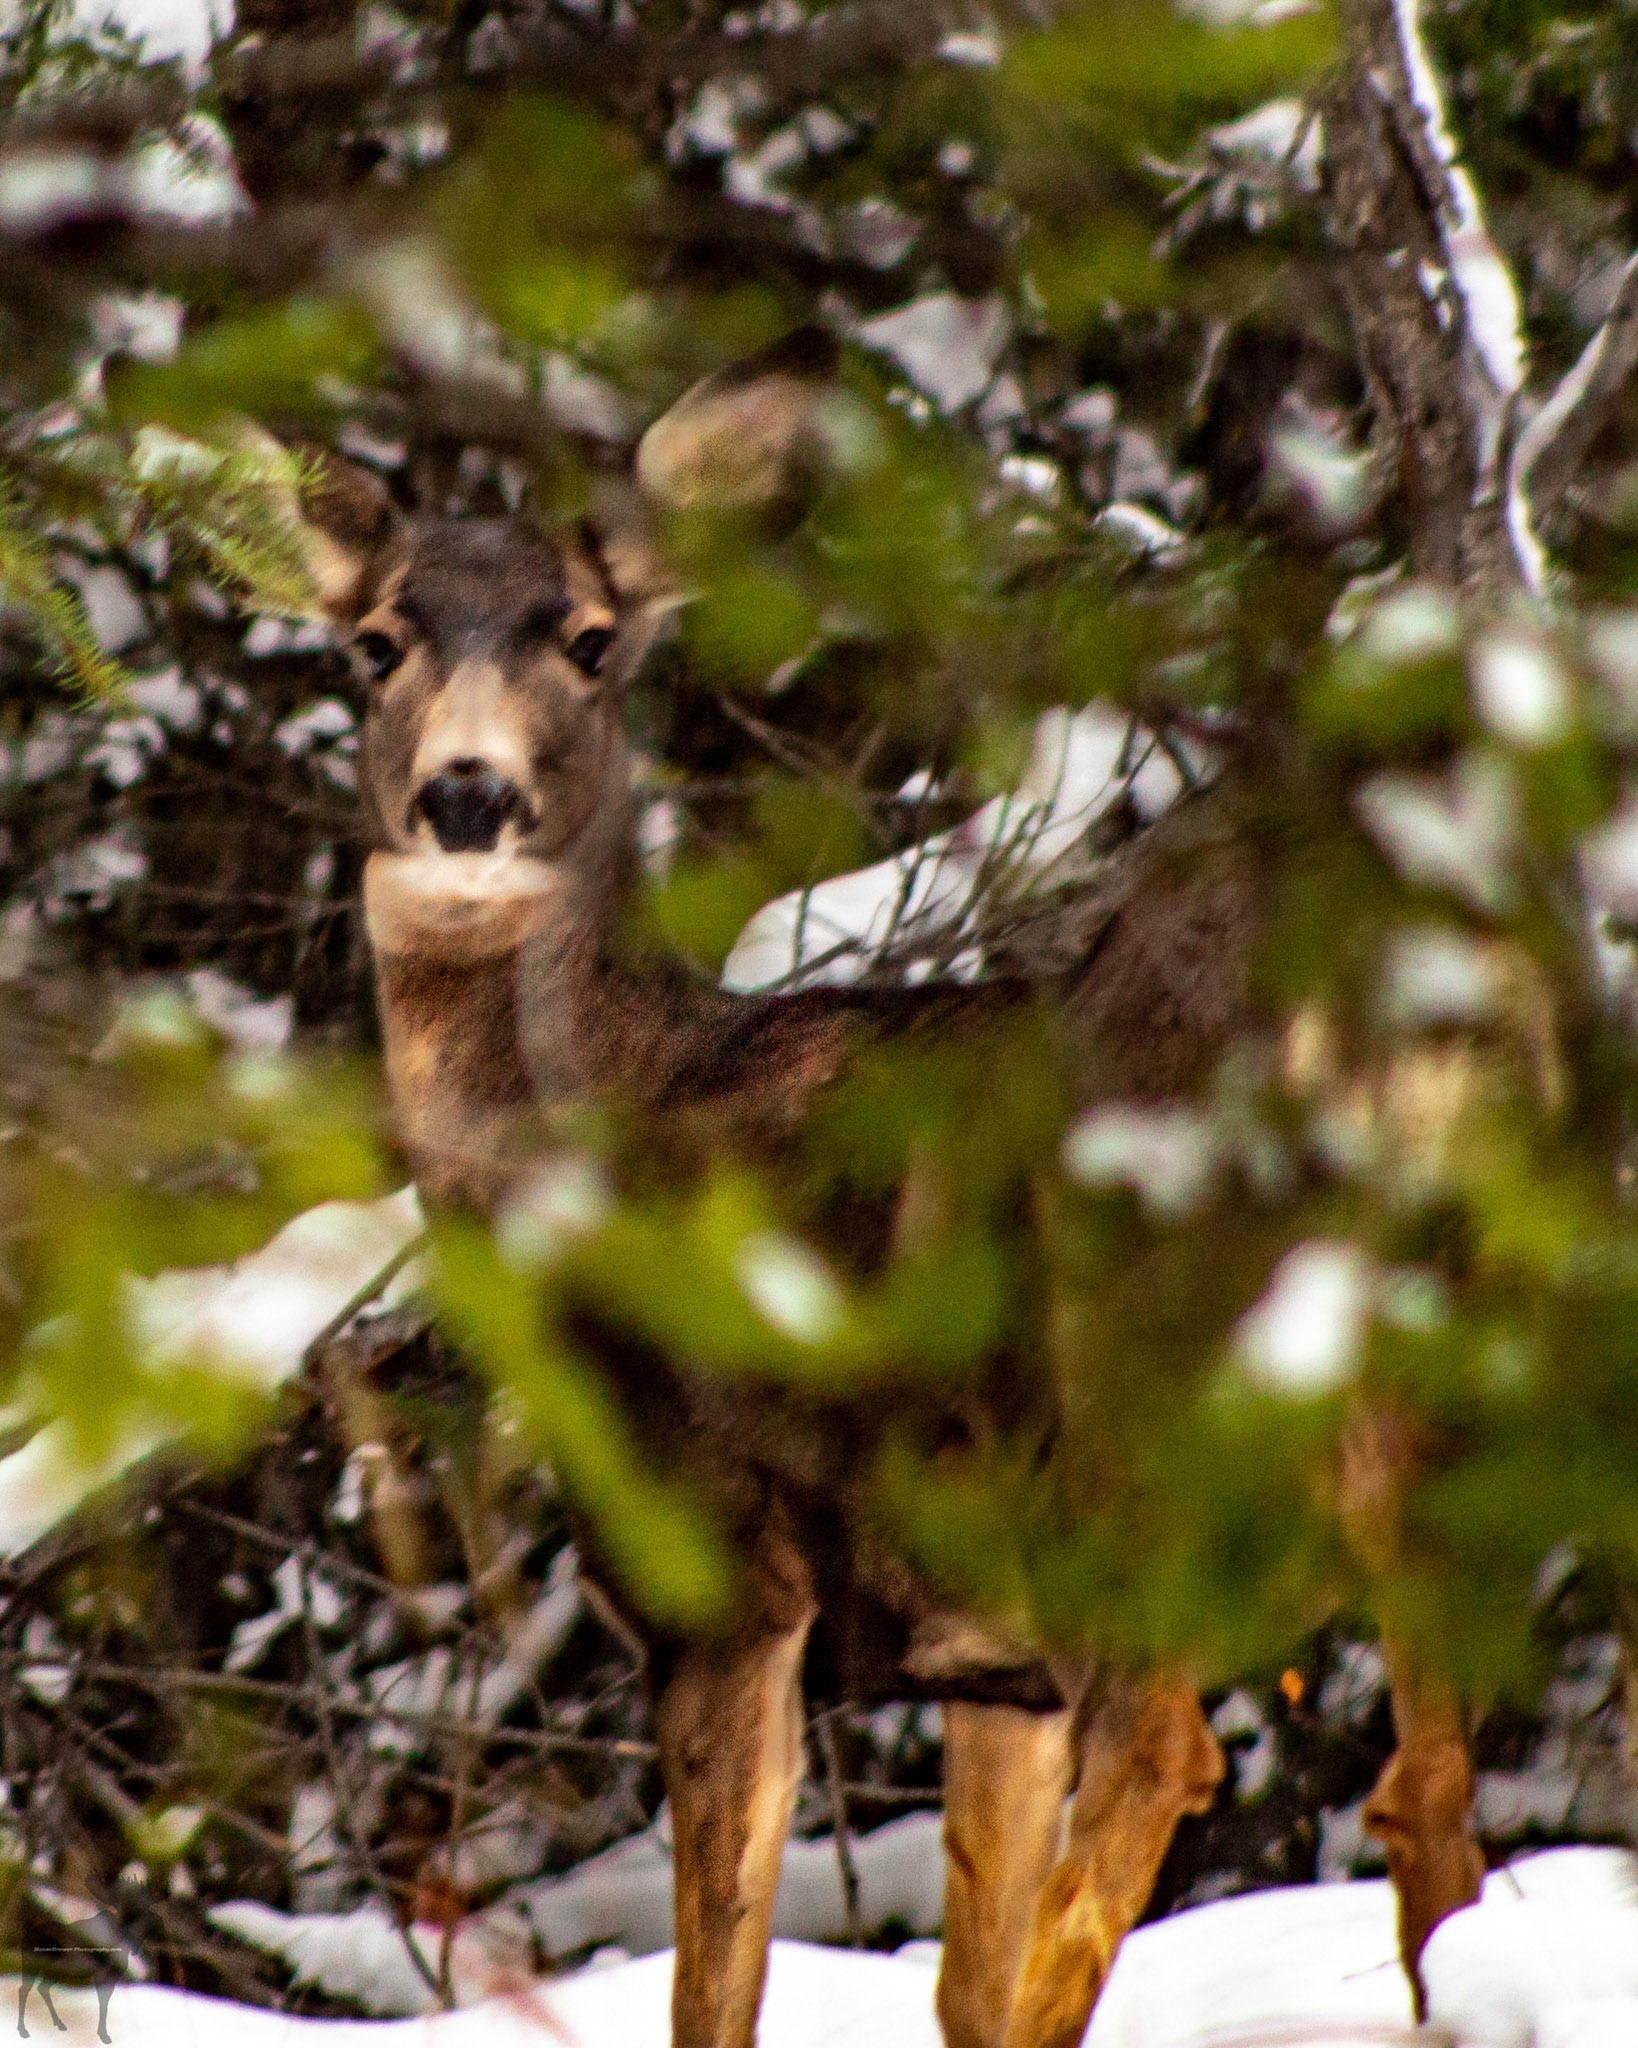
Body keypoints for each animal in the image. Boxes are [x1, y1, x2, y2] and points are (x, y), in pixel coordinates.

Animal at [283, 330, 1488, 2048]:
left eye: (589, 640)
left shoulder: (724, 1567)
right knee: (1428, 1795)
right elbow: (955, 1979)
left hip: (1137, 1436)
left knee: (1172, 1751)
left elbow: (720, 1970)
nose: (465, 795)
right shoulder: (987, 1663)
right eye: (375, 641)